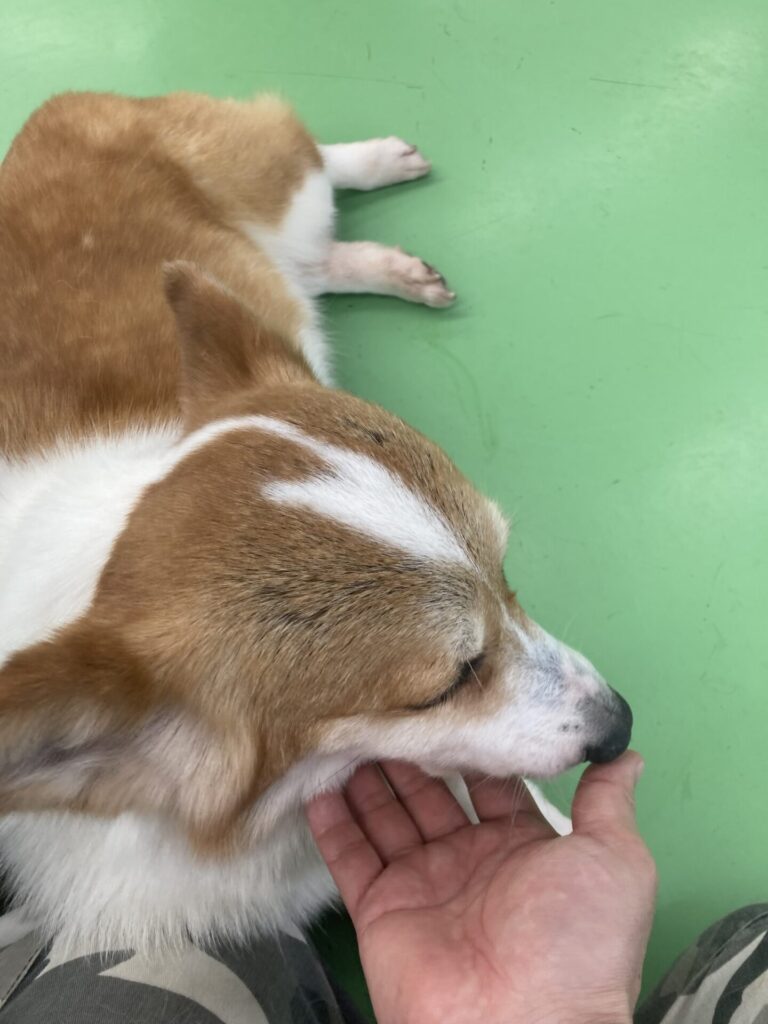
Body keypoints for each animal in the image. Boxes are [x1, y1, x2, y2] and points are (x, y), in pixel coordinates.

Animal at [0, 91, 632, 953]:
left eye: (508, 575)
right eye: (448, 682)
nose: (621, 725)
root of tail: (55, 107)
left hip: (281, 193)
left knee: (298, 150)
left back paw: (379, 163)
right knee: (312, 264)